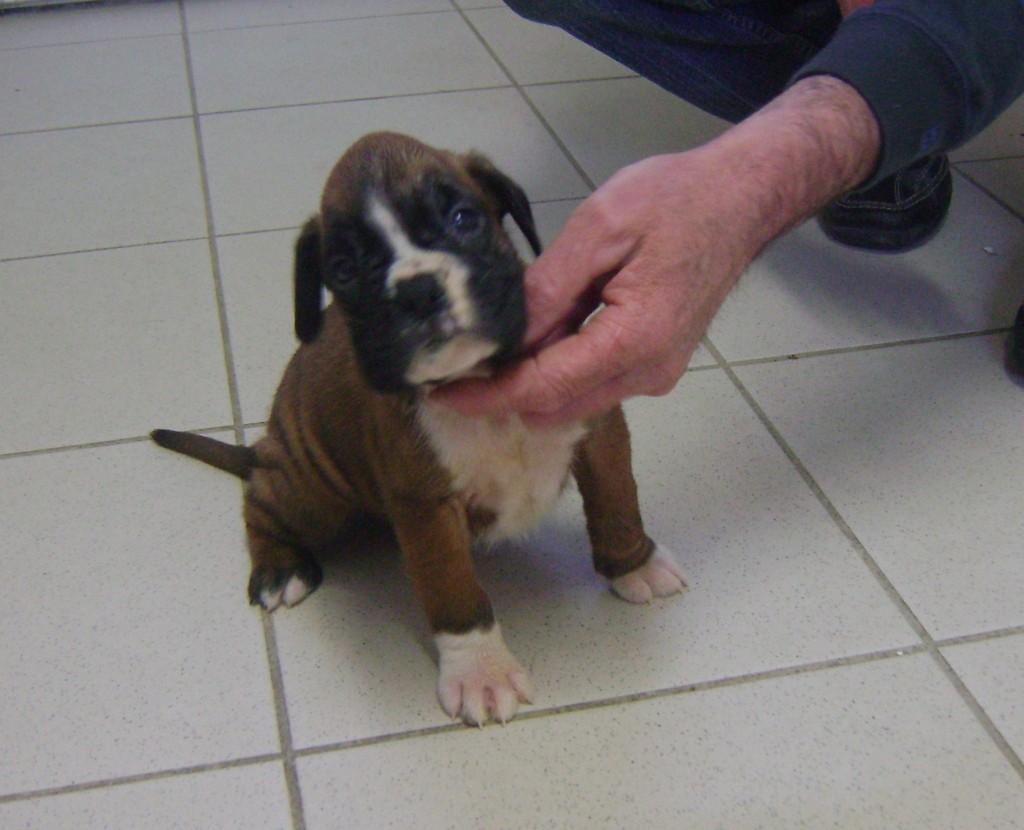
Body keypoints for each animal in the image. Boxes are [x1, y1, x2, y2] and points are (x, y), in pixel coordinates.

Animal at [152, 132, 686, 725]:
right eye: (344, 268)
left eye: (463, 218)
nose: (416, 289)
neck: (479, 380)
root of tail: (268, 450)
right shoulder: (425, 506)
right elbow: (453, 590)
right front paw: (481, 670)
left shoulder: (599, 431)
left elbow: (617, 502)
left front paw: (634, 564)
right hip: (312, 492)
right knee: (260, 506)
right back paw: (280, 566)